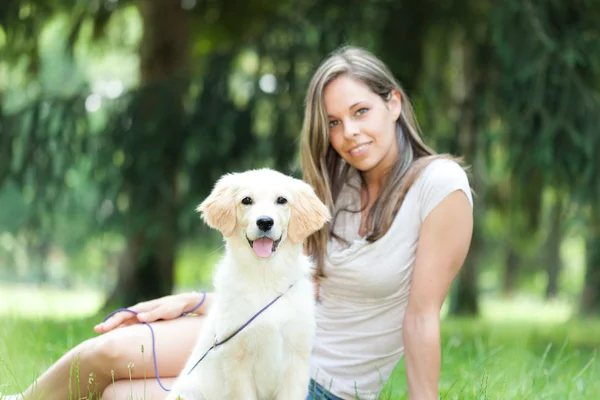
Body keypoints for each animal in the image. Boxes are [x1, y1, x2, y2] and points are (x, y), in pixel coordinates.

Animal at [166, 168, 330, 400]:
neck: (265, 276)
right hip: (190, 392)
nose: (265, 222)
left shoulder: (297, 359)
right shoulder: (236, 360)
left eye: (282, 200)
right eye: (246, 200)